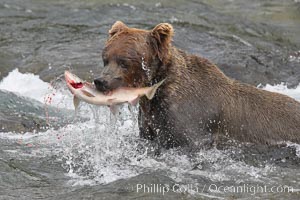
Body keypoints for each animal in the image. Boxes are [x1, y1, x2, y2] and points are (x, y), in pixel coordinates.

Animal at [94, 21, 300, 150]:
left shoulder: (189, 120)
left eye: (124, 62)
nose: (100, 81)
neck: (157, 92)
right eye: (106, 58)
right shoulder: (150, 120)